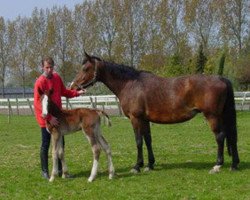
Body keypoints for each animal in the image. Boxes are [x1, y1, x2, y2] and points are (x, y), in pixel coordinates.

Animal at [69, 52, 239, 174]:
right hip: (222, 116)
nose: (73, 86)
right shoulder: (145, 120)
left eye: (85, 69)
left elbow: (138, 141)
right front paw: (150, 165)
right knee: (231, 136)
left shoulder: (135, 119)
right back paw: (234, 164)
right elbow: (148, 140)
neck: (130, 84)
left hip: (212, 116)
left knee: (220, 137)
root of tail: (222, 79)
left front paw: (137, 166)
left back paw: (217, 165)